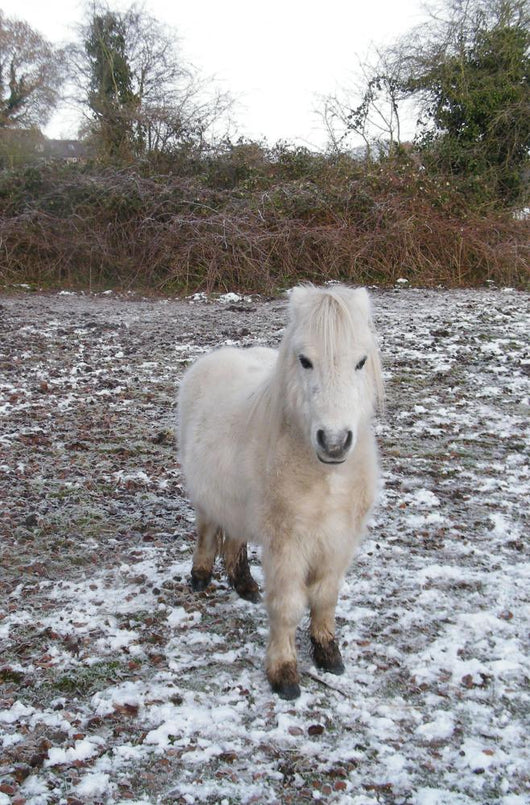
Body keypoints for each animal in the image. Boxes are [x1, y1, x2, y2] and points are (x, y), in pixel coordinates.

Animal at [177, 284, 384, 699]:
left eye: (361, 361)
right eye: (304, 360)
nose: (334, 442)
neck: (326, 479)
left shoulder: (338, 541)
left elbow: (325, 597)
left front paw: (328, 654)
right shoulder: (287, 544)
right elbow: (288, 605)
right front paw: (285, 673)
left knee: (234, 537)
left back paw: (244, 584)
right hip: (207, 499)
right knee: (208, 531)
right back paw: (201, 576)